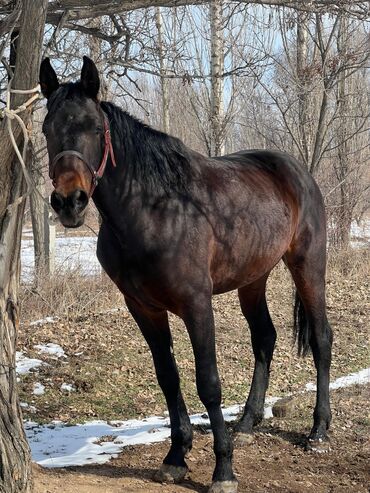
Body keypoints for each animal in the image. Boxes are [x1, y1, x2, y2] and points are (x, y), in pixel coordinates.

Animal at [39, 56, 332, 492]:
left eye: (93, 127)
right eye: (46, 129)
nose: (69, 202)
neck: (154, 210)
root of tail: (297, 171)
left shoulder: (197, 304)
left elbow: (208, 383)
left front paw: (223, 470)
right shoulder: (143, 308)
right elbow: (168, 377)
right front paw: (176, 456)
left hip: (307, 265)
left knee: (321, 339)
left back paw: (318, 430)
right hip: (253, 279)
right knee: (264, 338)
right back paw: (247, 423)